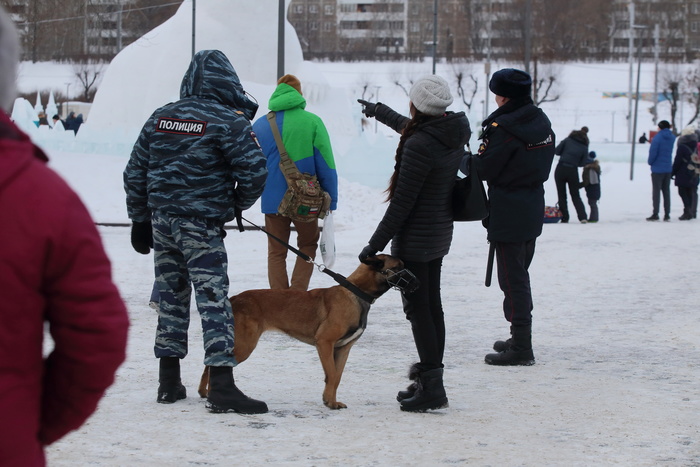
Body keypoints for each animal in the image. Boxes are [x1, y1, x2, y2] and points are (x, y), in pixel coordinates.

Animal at [197, 254, 416, 412]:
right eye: (399, 266)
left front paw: (331, 400)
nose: (417, 280)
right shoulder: (325, 343)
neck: (355, 292)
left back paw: (204, 392)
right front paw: (330, 402)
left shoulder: (343, 349)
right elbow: (332, 374)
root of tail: (235, 298)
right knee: (214, 363)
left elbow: (337, 376)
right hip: (245, 344)